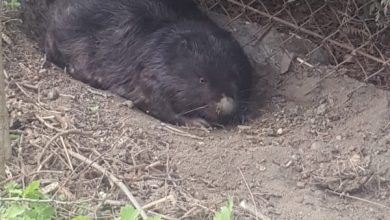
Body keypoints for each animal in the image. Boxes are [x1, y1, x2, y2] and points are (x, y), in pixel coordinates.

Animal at [21, 0, 254, 127]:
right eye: (202, 79)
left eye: (235, 77)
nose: (226, 106)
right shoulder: (150, 71)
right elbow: (154, 102)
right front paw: (197, 122)